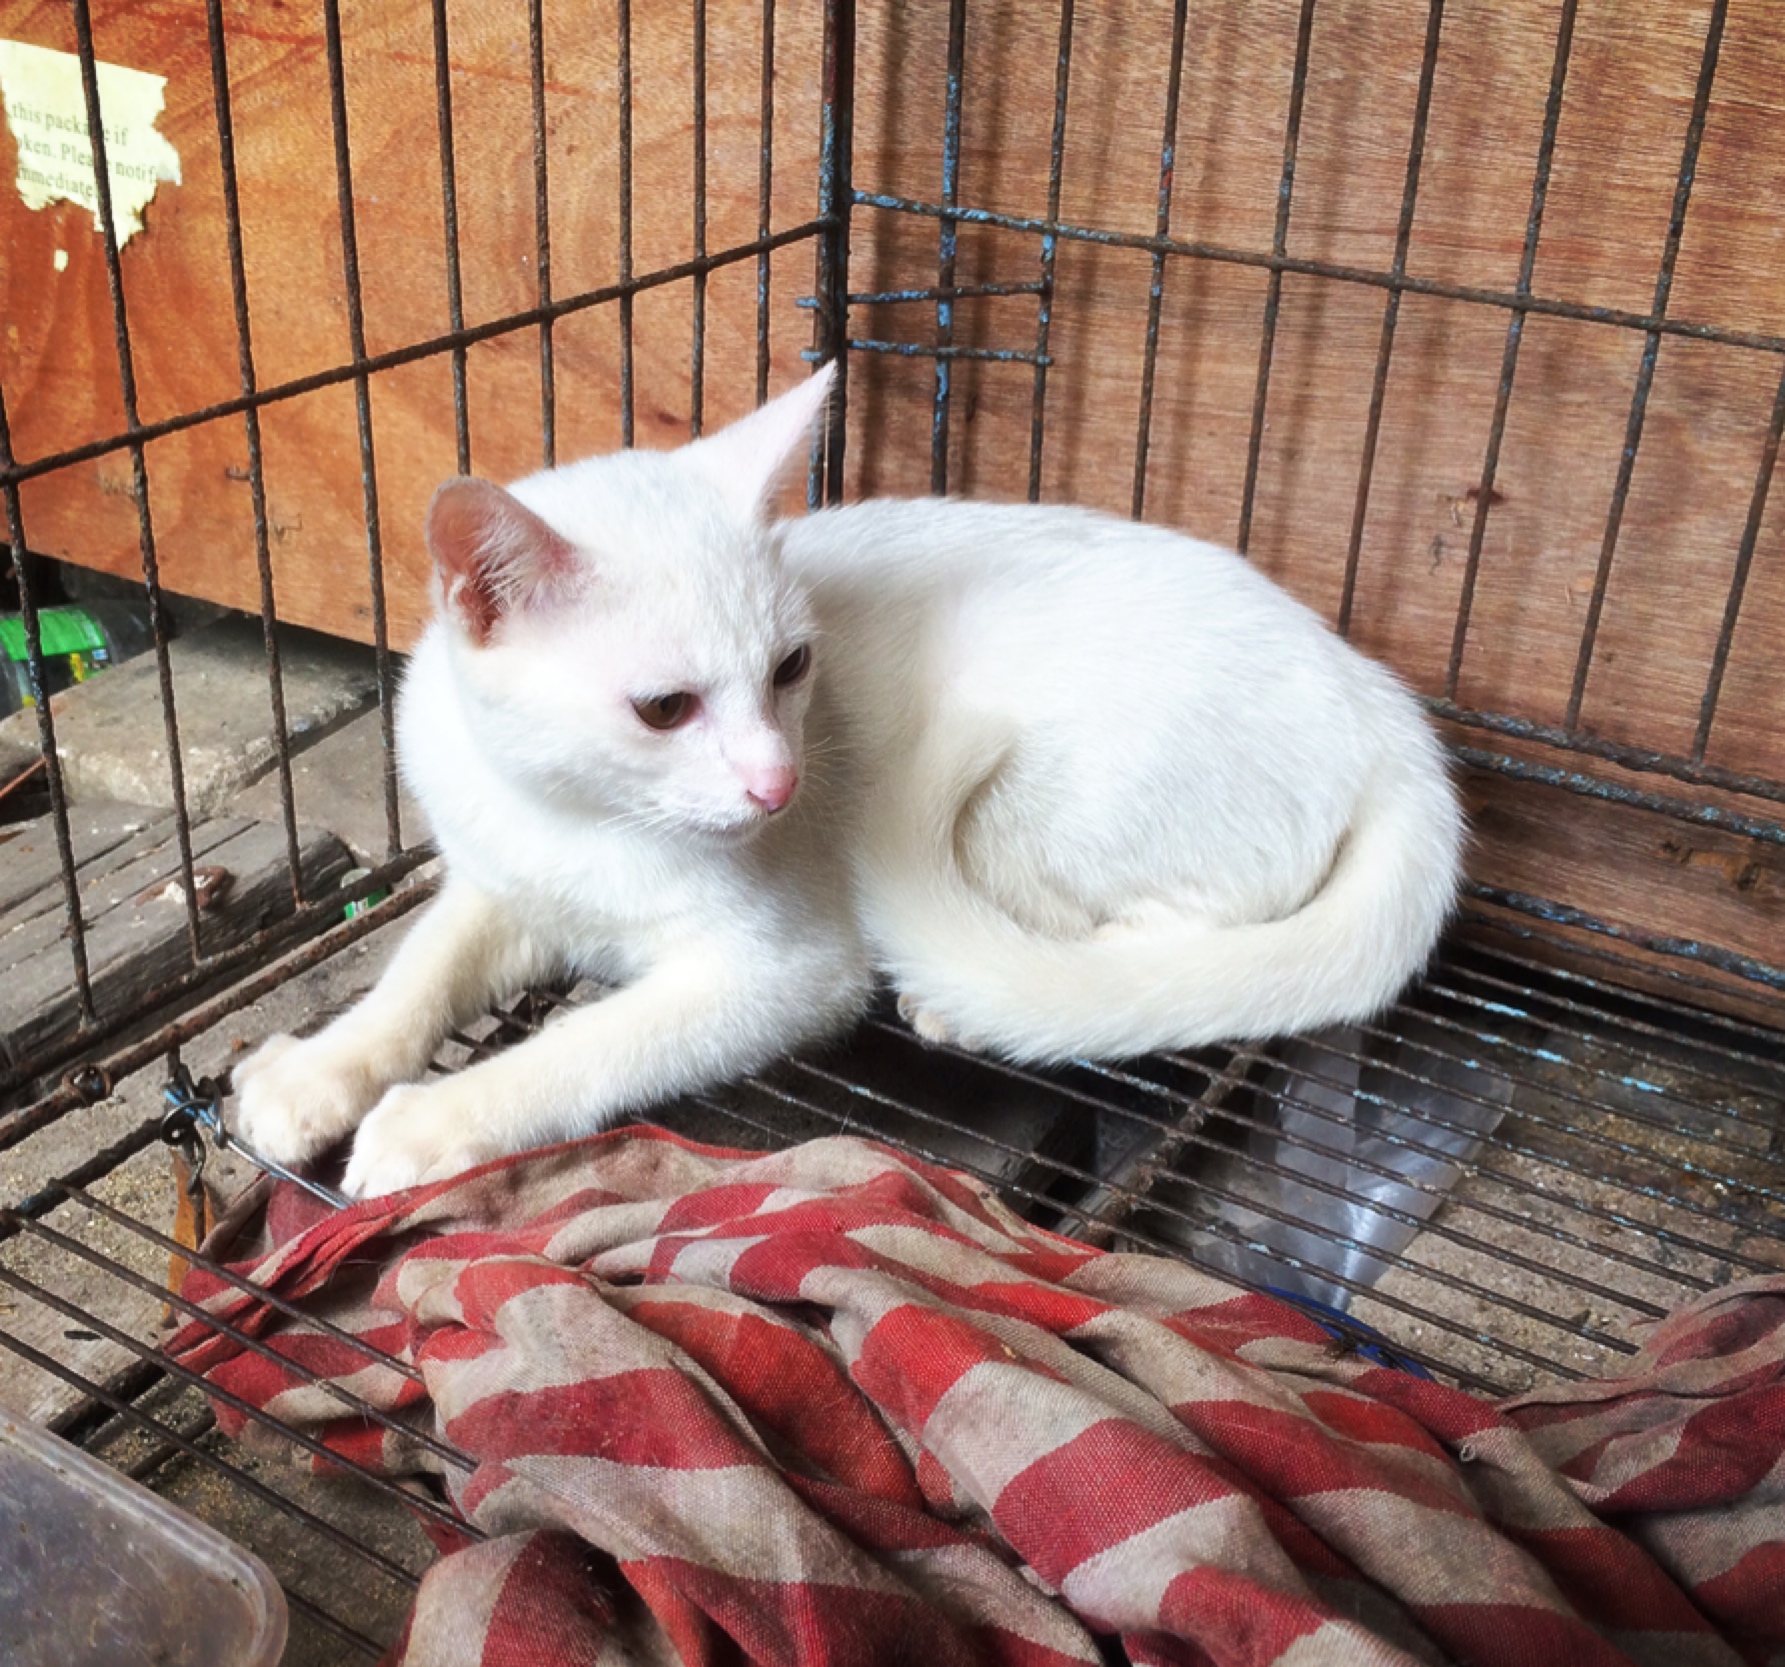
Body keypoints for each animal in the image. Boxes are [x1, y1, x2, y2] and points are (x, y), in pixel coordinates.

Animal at [233, 362, 1462, 1199]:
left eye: (790, 668)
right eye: (666, 709)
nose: (778, 785)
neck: (578, 821)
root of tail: (1378, 696)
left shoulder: (784, 972)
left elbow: (587, 1047)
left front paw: (437, 1120)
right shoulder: (500, 885)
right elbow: (417, 974)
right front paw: (319, 1072)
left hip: (1069, 799)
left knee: (1165, 947)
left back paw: (970, 995)